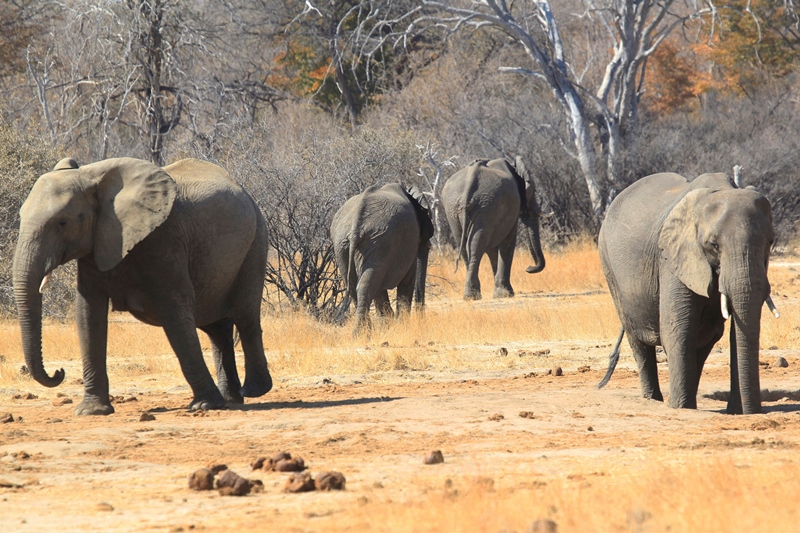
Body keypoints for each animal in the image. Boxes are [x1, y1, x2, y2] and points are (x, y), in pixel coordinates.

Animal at [12, 156, 274, 414]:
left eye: (62, 223)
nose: (59, 372)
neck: (91, 176)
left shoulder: (163, 240)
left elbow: (175, 313)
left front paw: (205, 405)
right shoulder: (96, 244)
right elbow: (88, 315)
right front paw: (91, 411)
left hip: (256, 241)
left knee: (245, 315)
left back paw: (253, 391)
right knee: (216, 327)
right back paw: (232, 399)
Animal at [330, 183, 434, 332]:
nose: (422, 323)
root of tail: (356, 224)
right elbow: (408, 280)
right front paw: (401, 326)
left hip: (345, 244)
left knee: (357, 285)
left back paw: (364, 332)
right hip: (379, 242)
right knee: (367, 285)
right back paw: (363, 333)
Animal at [596, 172, 780, 414]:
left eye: (770, 241)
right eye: (713, 245)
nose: (754, 411)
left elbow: (735, 331)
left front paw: (735, 412)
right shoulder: (673, 257)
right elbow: (677, 328)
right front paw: (679, 408)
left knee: (705, 337)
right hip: (608, 265)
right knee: (637, 338)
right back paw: (654, 400)